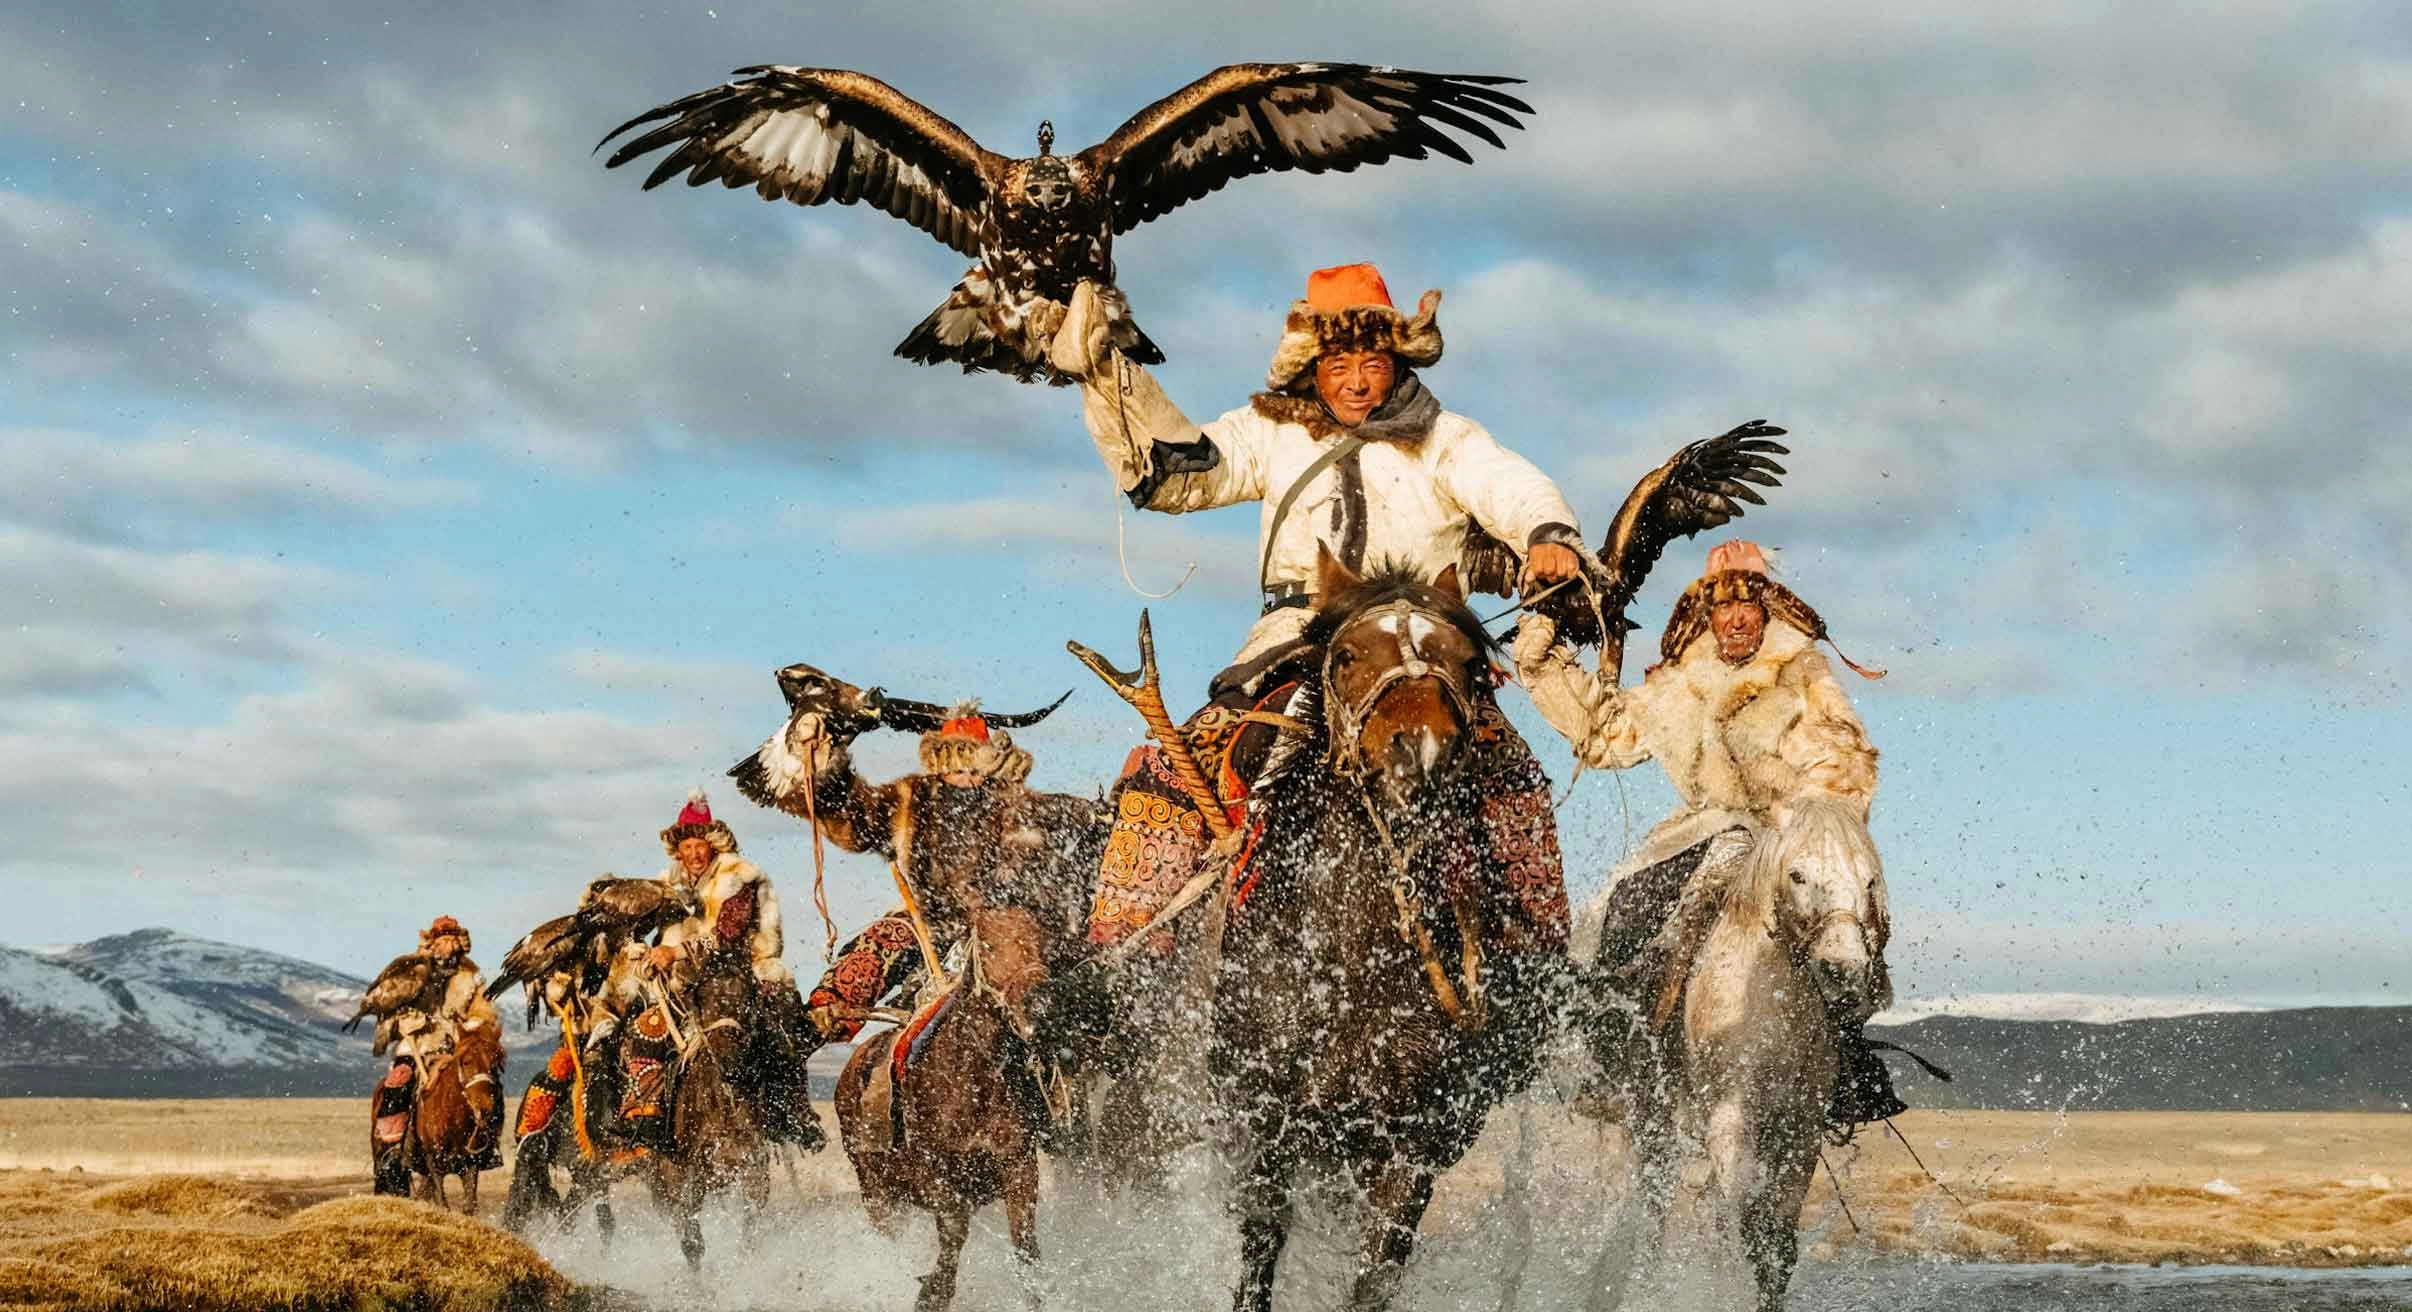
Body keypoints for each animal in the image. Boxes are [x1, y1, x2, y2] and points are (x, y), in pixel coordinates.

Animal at [405, 1017, 504, 1215]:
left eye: (495, 1063)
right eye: (465, 1061)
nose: (485, 1108)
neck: (453, 1122)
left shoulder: (471, 1163)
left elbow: (469, 1205)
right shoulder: (434, 1162)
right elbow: (442, 1203)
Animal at [829, 901, 1056, 1312]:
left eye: (1042, 942)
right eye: (988, 947)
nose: (1041, 1007)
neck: (970, 1081)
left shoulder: (1019, 1168)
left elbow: (1025, 1246)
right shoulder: (933, 1176)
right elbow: (953, 1231)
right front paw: (932, 1292)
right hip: (875, 1192)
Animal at [1215, 554, 1572, 1312]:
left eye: (1469, 665)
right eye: (1348, 656)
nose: (1422, 754)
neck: (1348, 965)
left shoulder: (1410, 1146)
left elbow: (1375, 1275)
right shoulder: (1265, 1123)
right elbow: (1259, 1253)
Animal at [1591, 791, 1891, 1312]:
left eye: (1868, 879)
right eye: (1798, 875)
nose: (1844, 970)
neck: (1773, 1006)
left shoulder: (1799, 1131)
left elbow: (1776, 1246)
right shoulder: (1730, 1119)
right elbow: (1742, 1222)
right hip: (1647, 1119)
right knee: (1650, 1210)